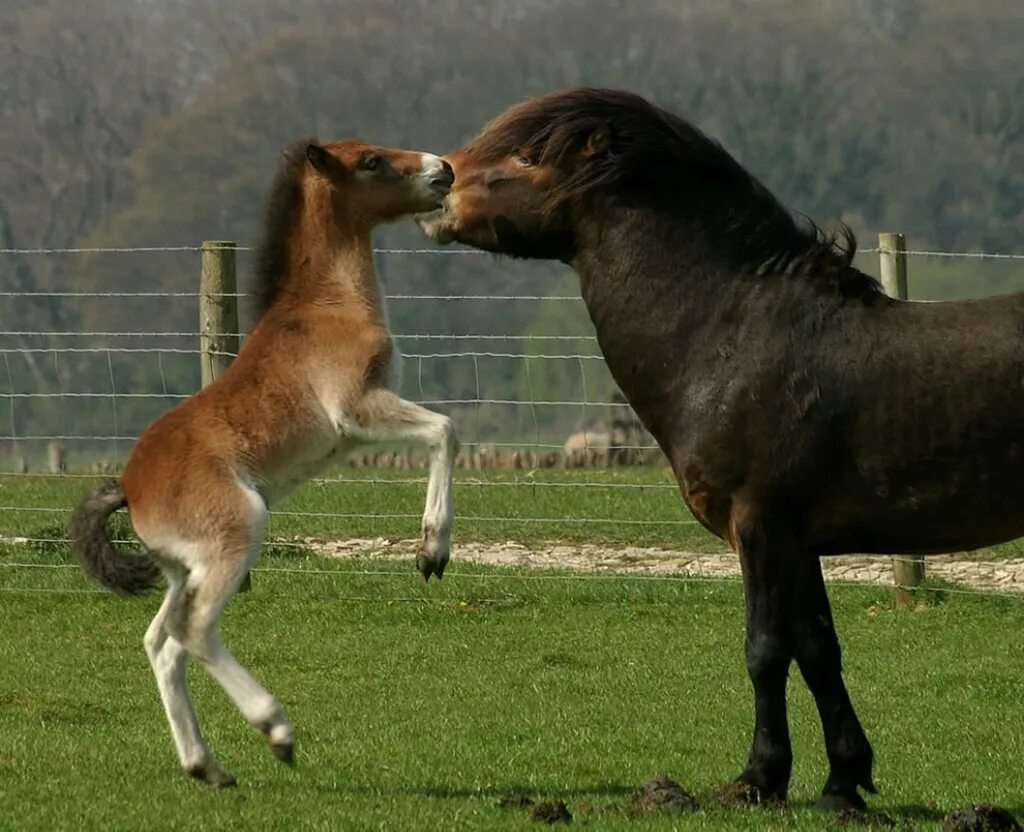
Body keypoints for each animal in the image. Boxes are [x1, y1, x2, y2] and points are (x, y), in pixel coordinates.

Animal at [72, 138, 456, 786]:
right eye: (372, 161)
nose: (444, 170)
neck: (324, 305)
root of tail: (129, 486)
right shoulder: (358, 410)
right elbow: (446, 432)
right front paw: (432, 551)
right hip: (238, 531)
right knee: (193, 630)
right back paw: (274, 729)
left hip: (185, 569)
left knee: (160, 641)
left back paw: (207, 765)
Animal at [415, 87, 1024, 807]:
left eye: (528, 157)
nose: (438, 183)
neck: (732, 335)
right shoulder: (799, 541)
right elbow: (818, 650)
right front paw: (842, 781)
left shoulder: (760, 526)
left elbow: (765, 649)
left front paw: (759, 778)